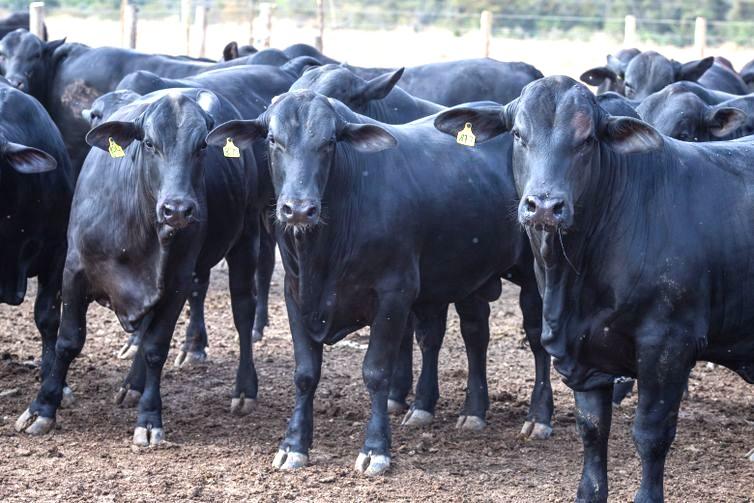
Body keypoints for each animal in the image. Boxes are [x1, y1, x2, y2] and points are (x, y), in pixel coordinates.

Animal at [15, 88, 264, 445]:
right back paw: (131, 385)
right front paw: (42, 408)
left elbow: (155, 348)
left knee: (243, 311)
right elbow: (68, 341)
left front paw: (149, 419)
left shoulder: (177, 283)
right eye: (148, 143)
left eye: (202, 145)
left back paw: (244, 390)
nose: (178, 210)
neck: (137, 228)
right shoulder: (73, 273)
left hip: (247, 236)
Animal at [205, 90, 554, 475]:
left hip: (533, 275)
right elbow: (305, 373)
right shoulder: (296, 296)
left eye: (329, 142)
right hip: (469, 276)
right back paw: (463, 411)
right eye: (272, 140)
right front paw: (293, 445)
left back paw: (539, 417)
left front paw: (375, 449)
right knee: (473, 335)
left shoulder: (393, 295)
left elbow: (376, 371)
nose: (298, 209)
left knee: (536, 340)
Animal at [433, 74, 754, 501]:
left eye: (587, 140)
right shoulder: (582, 353)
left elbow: (651, 433)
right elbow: (592, 430)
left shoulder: (668, 344)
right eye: (517, 134)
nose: (544, 206)